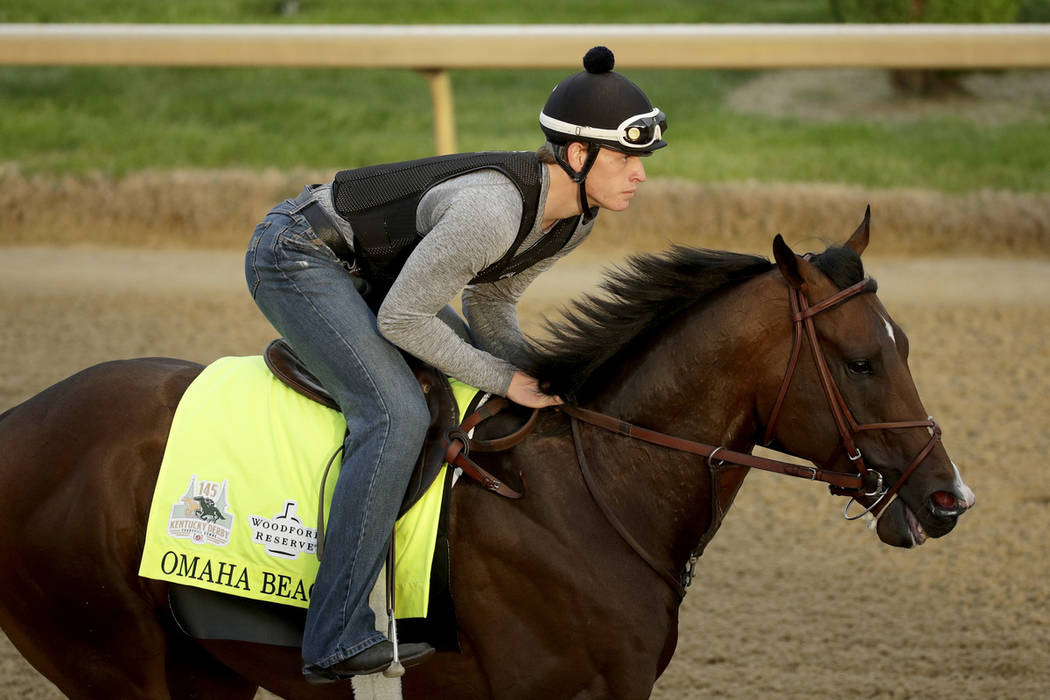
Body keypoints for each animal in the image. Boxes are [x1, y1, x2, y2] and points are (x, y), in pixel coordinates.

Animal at [0, 214, 974, 700]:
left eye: (907, 344)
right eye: (862, 360)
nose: (948, 497)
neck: (588, 489)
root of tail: (22, 422)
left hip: (206, 673)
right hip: (114, 664)